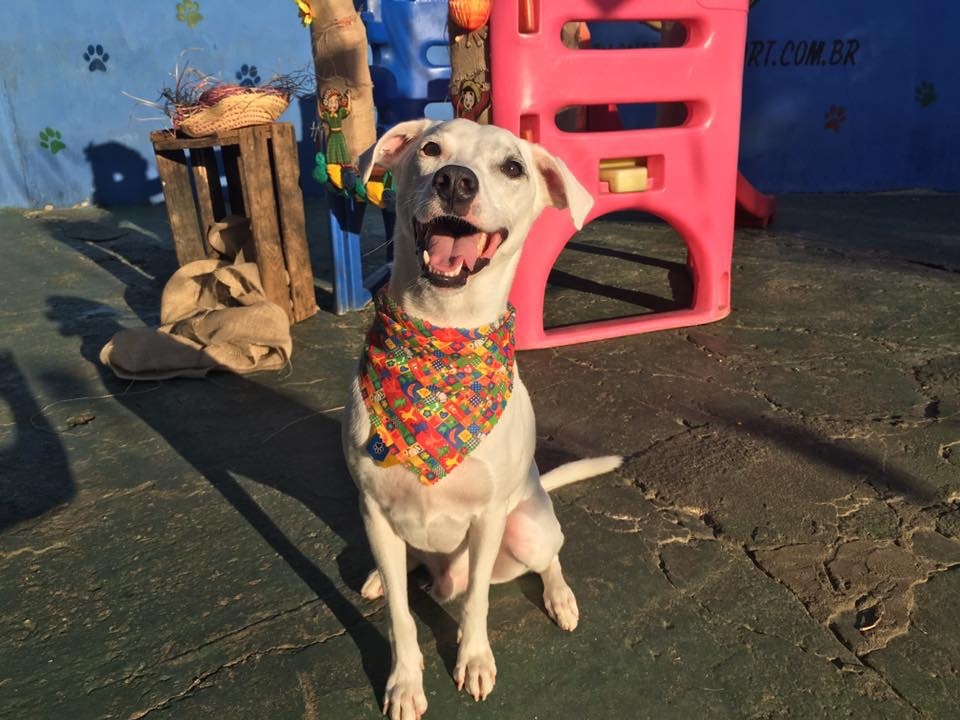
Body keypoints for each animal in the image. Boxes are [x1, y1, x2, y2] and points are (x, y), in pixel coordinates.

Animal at [344, 121, 624, 716]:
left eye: (512, 167)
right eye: (430, 149)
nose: (455, 181)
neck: (442, 337)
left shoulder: (490, 518)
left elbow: (475, 602)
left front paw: (473, 660)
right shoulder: (374, 511)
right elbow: (401, 617)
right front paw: (405, 682)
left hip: (527, 527)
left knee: (549, 557)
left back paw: (560, 597)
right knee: (405, 571)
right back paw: (381, 577)